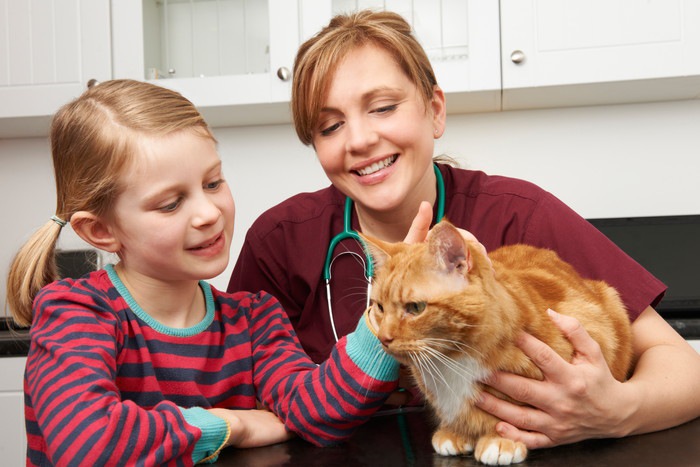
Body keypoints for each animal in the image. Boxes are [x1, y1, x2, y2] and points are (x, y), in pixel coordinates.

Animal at [364, 221, 632, 466]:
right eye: (380, 307)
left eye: (416, 307)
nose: (384, 338)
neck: (451, 360)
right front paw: (456, 431)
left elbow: (513, 412)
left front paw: (500, 439)